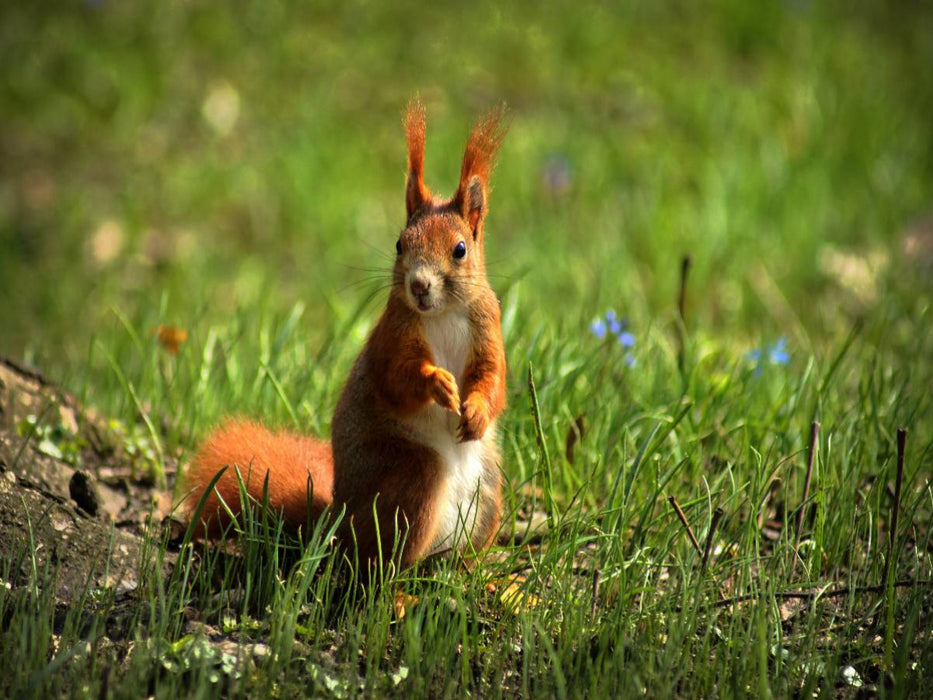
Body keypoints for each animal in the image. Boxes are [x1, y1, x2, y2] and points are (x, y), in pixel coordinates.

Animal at [182, 97, 509, 570]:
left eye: (460, 250)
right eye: (399, 244)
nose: (419, 285)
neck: (444, 312)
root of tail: (336, 521)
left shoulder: (489, 328)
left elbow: (493, 381)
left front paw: (478, 410)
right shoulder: (394, 335)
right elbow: (396, 378)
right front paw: (438, 383)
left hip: (489, 489)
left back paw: (480, 572)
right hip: (411, 477)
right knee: (383, 562)